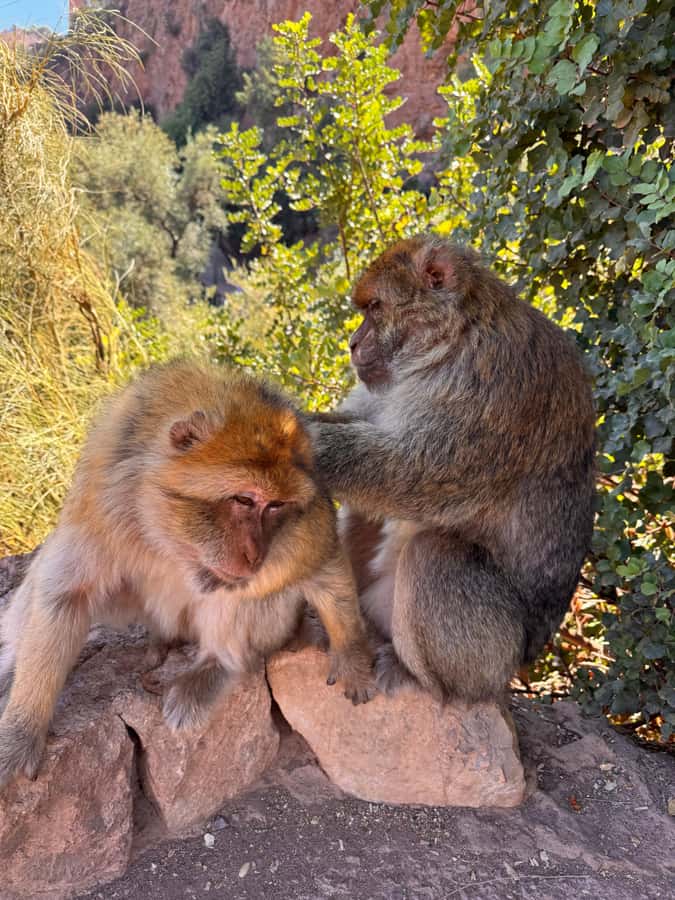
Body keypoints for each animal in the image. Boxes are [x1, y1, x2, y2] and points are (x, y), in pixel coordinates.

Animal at [0, 361, 374, 789]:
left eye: (276, 506)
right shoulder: (103, 501)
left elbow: (319, 561)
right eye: (244, 499)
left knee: (243, 596)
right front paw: (22, 730)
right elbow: (63, 594)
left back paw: (215, 666)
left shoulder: (304, 515)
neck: (169, 532)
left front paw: (351, 652)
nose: (254, 555)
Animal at [309, 234, 596, 706]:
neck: (455, 339)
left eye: (375, 308)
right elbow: (366, 430)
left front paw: (293, 436)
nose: (352, 343)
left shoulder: (494, 383)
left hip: (488, 659)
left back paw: (420, 677)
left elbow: (414, 474)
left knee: (435, 553)